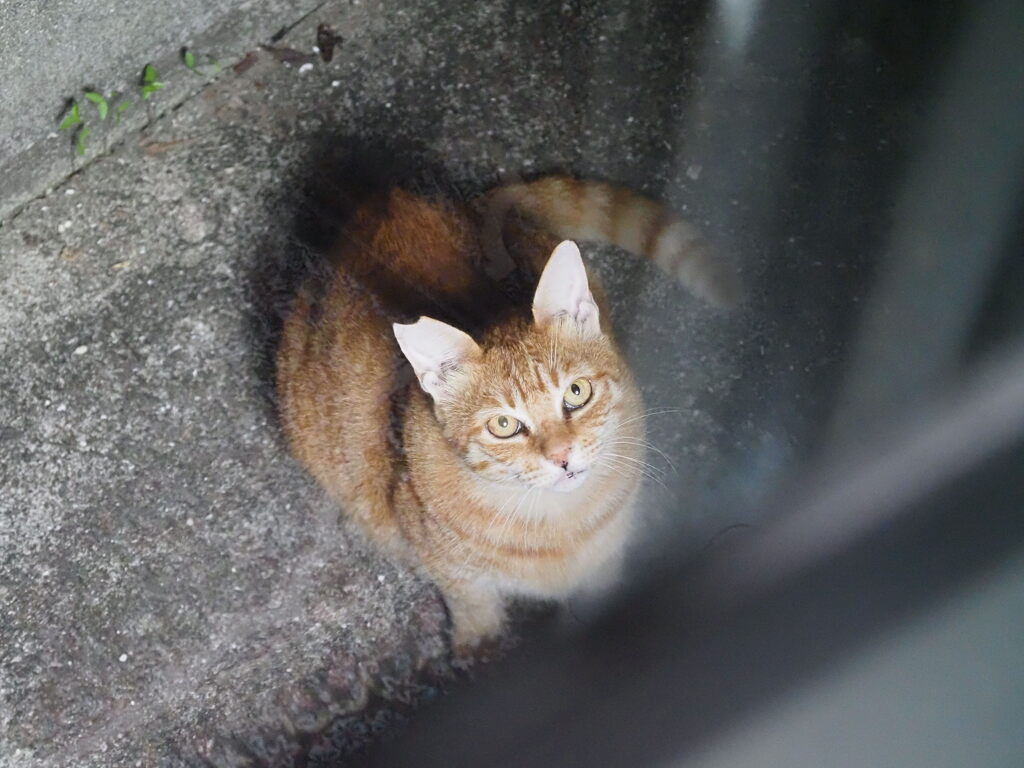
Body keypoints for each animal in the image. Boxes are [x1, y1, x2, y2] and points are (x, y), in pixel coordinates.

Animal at [276, 174, 733, 651]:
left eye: (576, 392)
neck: (559, 527)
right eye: (504, 425)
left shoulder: (605, 563)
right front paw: (479, 647)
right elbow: (475, 612)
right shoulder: (457, 577)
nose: (562, 456)